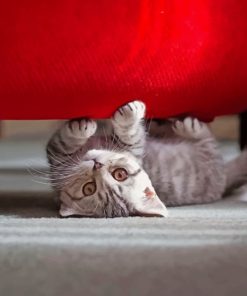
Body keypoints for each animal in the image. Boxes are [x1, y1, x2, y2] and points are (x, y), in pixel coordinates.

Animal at [46, 100, 247, 216]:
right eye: (89, 188)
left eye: (120, 174)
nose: (97, 164)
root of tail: (222, 180)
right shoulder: (57, 159)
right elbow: (63, 142)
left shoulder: (135, 147)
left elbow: (131, 134)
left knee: (206, 139)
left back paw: (185, 126)